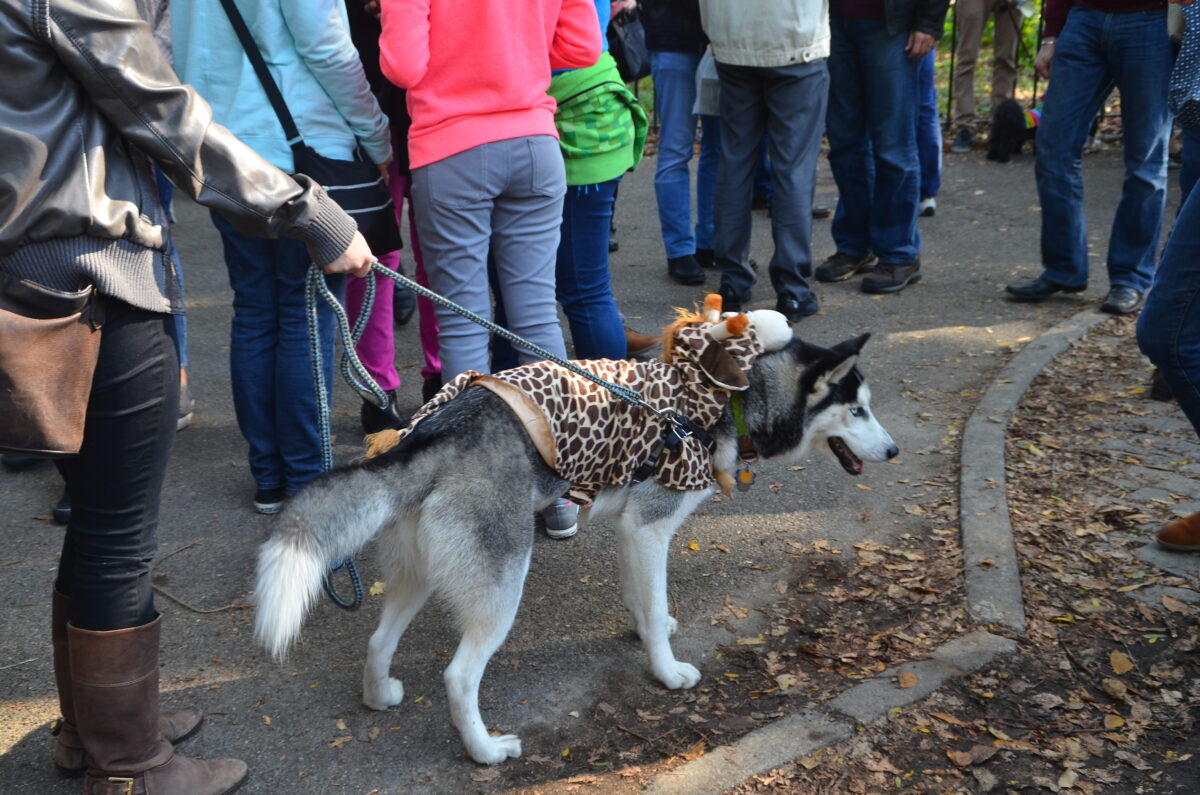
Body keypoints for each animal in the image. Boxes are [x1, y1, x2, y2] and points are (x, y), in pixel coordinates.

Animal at [253, 317, 898, 765]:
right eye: (857, 411)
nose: (893, 450)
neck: (731, 397)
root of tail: (435, 430)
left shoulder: (631, 529)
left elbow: (642, 600)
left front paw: (648, 633)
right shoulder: (652, 526)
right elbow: (656, 604)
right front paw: (667, 672)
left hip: (419, 574)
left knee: (378, 640)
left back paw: (378, 693)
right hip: (502, 585)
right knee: (459, 677)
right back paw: (485, 751)